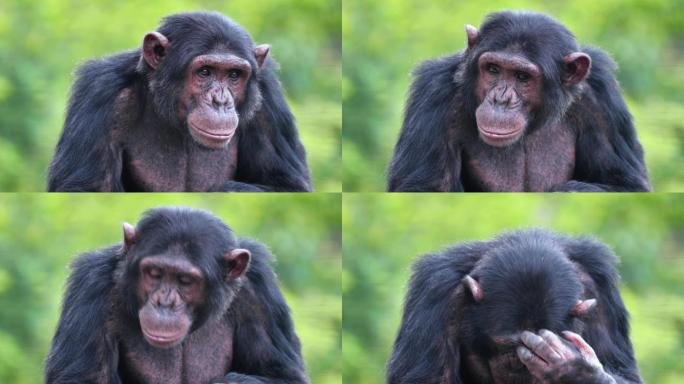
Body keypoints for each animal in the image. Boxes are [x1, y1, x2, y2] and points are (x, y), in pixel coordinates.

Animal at [44, 208, 308, 382]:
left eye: (186, 280)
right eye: (154, 273)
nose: (165, 302)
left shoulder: (260, 293)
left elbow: (283, 375)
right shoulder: (91, 287)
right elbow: (85, 378)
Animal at [48, 11, 312, 192]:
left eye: (234, 75)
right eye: (204, 72)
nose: (220, 101)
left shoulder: (268, 103)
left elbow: (288, 184)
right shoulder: (101, 94)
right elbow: (87, 186)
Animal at [388, 11, 648, 192]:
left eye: (523, 77)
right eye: (493, 69)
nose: (500, 99)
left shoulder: (601, 101)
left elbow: (626, 183)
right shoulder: (434, 94)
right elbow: (426, 186)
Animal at [388, 230, 644, 382]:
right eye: (506, 346)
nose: (519, 367)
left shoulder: (600, 289)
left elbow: (624, 371)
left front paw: (575, 369)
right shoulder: (434, 292)